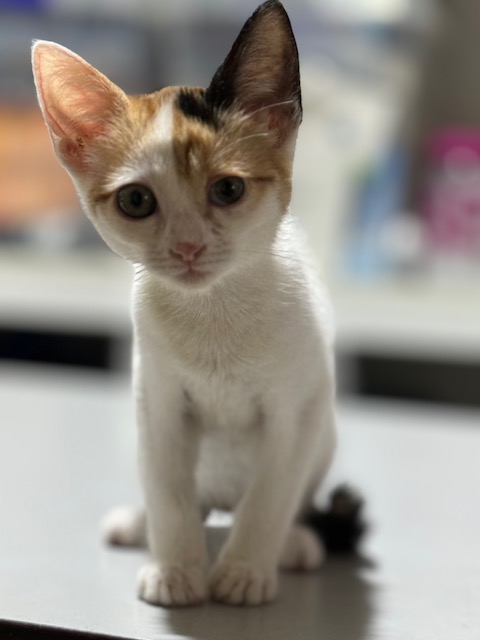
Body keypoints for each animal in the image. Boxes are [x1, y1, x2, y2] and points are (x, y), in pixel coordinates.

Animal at [32, 0, 337, 607]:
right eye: (136, 200)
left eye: (228, 190)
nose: (189, 247)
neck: (213, 315)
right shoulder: (158, 402)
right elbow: (169, 490)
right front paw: (176, 569)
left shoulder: (297, 410)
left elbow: (271, 495)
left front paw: (243, 572)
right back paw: (140, 524)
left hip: (325, 433)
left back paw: (294, 544)